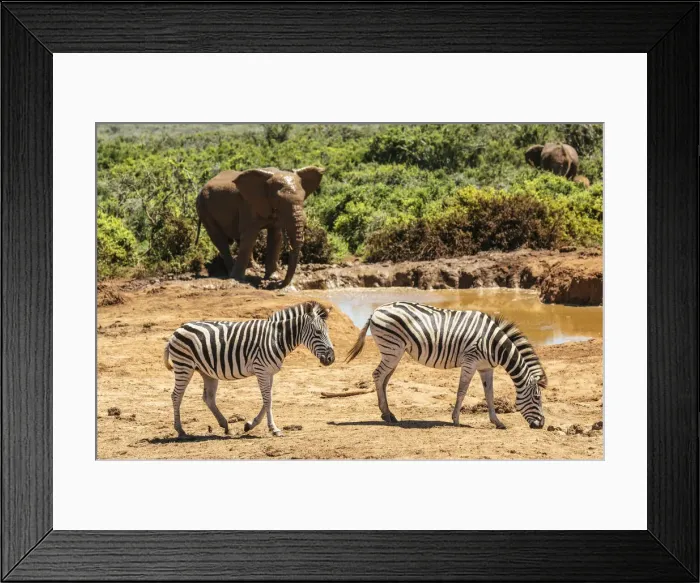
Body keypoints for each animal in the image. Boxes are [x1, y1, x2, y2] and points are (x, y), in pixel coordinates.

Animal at [163, 301, 335, 438]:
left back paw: (226, 426)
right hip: (184, 366)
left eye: (328, 332)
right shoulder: (261, 370)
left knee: (208, 398)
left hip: (206, 371)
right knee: (176, 396)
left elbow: (268, 399)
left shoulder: (269, 372)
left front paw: (250, 425)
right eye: (318, 332)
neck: (276, 338)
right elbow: (267, 400)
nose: (331, 358)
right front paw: (273, 429)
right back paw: (180, 430)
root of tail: (178, 330)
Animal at [195, 166, 324, 288]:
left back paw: (253, 268)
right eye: (278, 200)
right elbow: (250, 236)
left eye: (303, 198)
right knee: (220, 239)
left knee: (237, 238)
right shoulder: (248, 205)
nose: (279, 284)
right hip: (203, 209)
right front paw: (237, 279)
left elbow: (275, 237)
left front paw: (272, 277)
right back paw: (231, 273)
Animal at [345, 301, 547, 429]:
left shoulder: (485, 367)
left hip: (395, 352)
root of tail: (377, 310)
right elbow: (462, 391)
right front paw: (456, 420)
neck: (494, 344)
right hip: (392, 350)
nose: (541, 425)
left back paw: (388, 414)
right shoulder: (470, 361)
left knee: (384, 380)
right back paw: (386, 414)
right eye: (537, 398)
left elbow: (489, 395)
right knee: (378, 375)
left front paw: (497, 422)